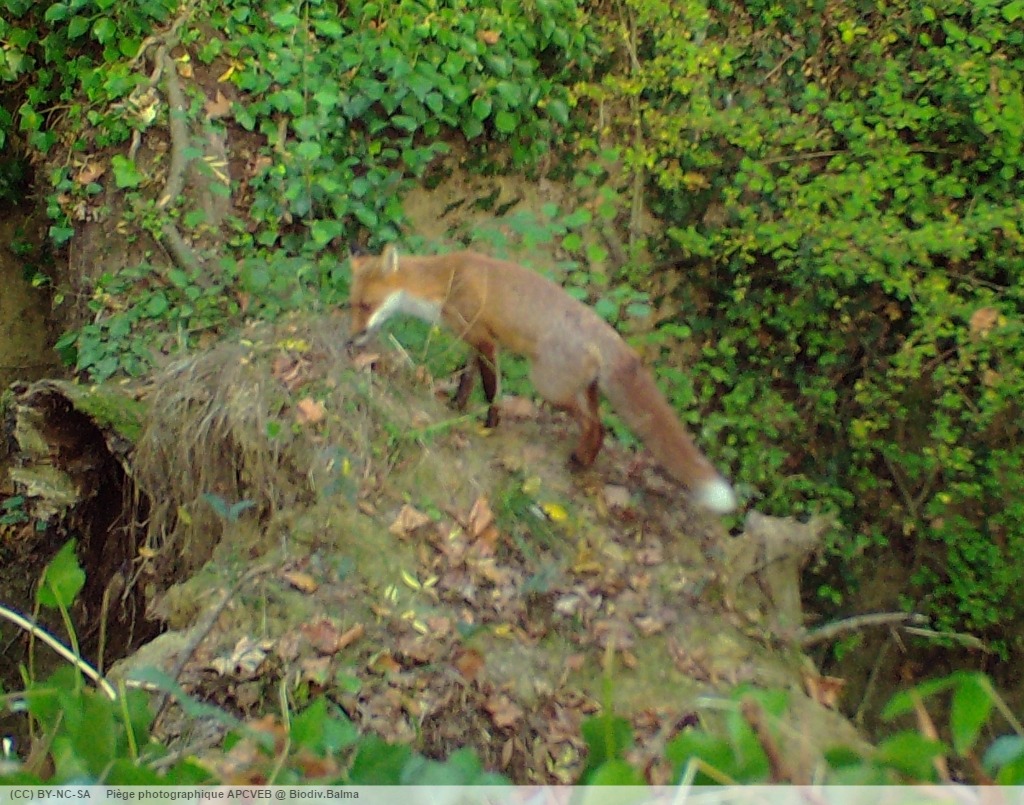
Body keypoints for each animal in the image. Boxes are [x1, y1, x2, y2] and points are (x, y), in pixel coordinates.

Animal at [347, 246, 737, 514]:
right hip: (582, 389)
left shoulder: (486, 341)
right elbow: (467, 382)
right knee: (599, 425)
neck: (446, 280)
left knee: (595, 425)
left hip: (547, 386)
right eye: (353, 304)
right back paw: (584, 460)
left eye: (367, 306)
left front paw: (490, 424)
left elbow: (491, 390)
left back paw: (577, 461)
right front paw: (456, 407)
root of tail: (612, 336)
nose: (352, 340)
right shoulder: (472, 341)